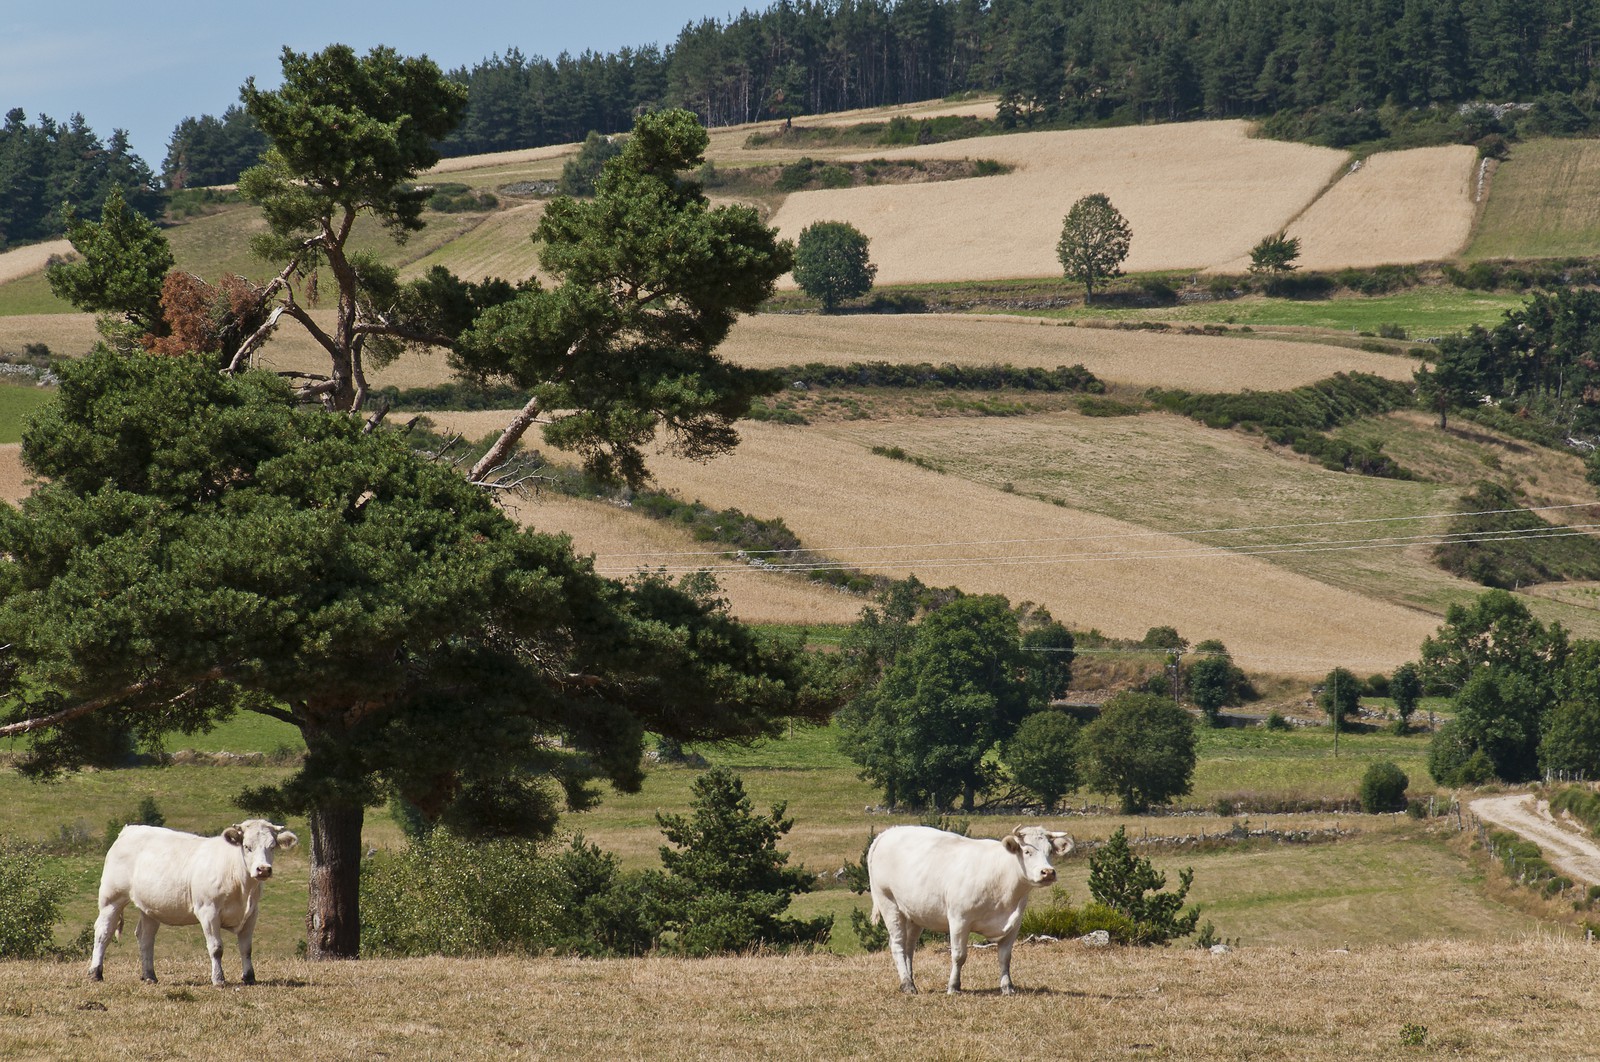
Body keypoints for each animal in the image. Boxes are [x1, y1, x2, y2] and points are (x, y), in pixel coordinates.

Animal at [89, 819, 298, 986]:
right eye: (247, 846)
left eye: (272, 846)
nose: (263, 869)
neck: (242, 887)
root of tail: (129, 829)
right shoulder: (208, 910)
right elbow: (216, 948)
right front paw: (219, 979)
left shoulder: (252, 913)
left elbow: (246, 948)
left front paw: (249, 977)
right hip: (111, 898)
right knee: (103, 932)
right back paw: (95, 973)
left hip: (150, 907)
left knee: (145, 937)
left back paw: (149, 976)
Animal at [867, 823, 1074, 995]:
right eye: (1027, 851)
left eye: (1050, 851)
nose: (1048, 872)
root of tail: (888, 832)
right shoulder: (959, 919)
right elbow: (959, 955)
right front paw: (953, 987)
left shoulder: (1014, 923)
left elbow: (1005, 957)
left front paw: (1007, 987)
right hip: (889, 902)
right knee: (897, 944)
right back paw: (907, 985)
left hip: (915, 912)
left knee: (909, 947)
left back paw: (910, 980)